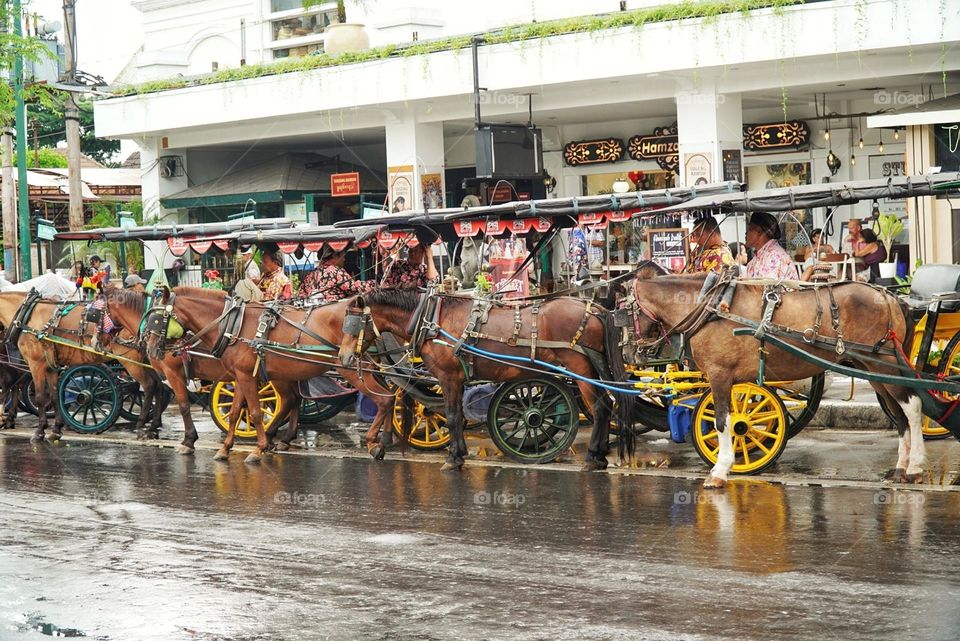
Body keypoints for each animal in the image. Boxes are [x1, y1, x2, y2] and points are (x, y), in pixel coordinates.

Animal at [0, 290, 163, 440]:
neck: (26, 315)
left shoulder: (36, 364)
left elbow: (40, 397)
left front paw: (40, 430)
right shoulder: (51, 367)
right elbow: (53, 396)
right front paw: (56, 429)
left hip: (131, 362)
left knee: (148, 385)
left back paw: (141, 426)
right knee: (160, 387)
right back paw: (154, 427)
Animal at [101, 288, 306, 458]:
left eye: (97, 312)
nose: (99, 340)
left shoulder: (172, 373)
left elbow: (182, 404)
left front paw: (187, 440)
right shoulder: (163, 373)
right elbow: (160, 394)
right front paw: (152, 427)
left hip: (277, 375)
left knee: (289, 399)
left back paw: (272, 436)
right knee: (295, 398)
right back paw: (285, 438)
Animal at [142, 288, 394, 462]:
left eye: (159, 319)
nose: (151, 349)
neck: (232, 326)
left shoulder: (243, 377)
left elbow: (253, 412)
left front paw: (258, 448)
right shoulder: (240, 376)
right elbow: (235, 412)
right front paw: (225, 448)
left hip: (351, 369)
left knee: (384, 399)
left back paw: (375, 443)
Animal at [338, 288, 632, 470]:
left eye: (354, 324)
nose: (343, 357)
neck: (431, 319)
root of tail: (594, 307)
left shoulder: (448, 377)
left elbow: (452, 416)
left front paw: (452, 459)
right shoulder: (455, 379)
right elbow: (457, 415)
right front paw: (459, 454)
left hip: (579, 367)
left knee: (600, 407)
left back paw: (593, 457)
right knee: (607, 403)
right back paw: (601, 455)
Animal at [628, 272, 928, 488]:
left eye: (625, 309)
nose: (631, 351)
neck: (709, 307)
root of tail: (890, 297)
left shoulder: (719, 374)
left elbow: (723, 421)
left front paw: (720, 470)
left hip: (884, 364)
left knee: (912, 405)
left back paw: (915, 467)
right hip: (872, 369)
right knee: (898, 413)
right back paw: (901, 467)